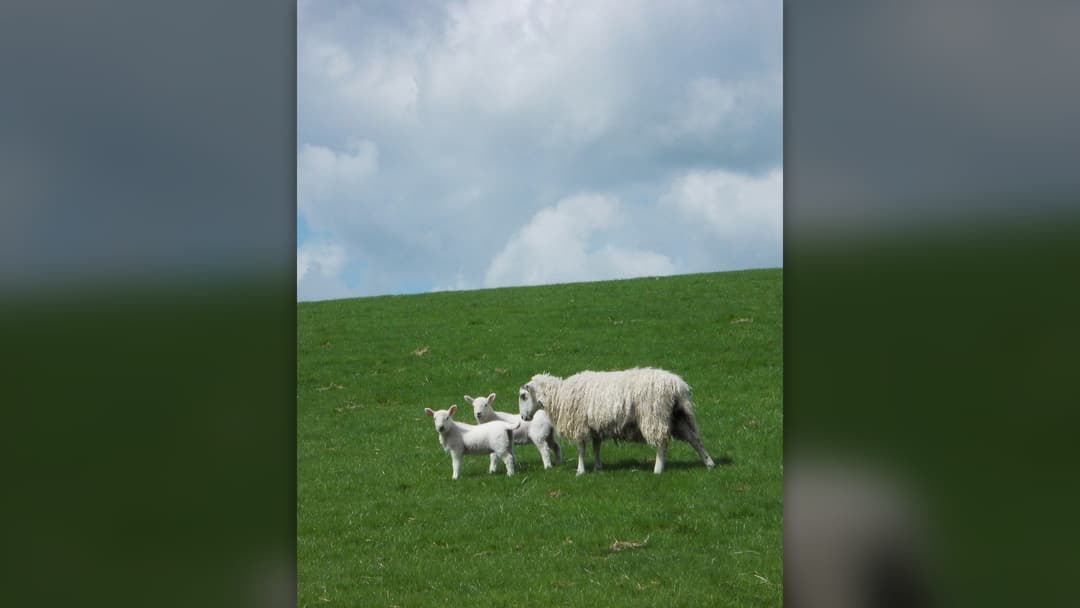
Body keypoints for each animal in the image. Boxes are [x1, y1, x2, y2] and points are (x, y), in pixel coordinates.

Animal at [518, 367, 717, 475]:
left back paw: (658, 468)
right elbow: (596, 447)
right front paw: (598, 468)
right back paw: (709, 463)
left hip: (654, 414)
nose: (524, 418)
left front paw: (580, 471)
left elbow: (581, 449)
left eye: (523, 396)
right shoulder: (594, 426)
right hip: (678, 416)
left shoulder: (579, 424)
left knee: (662, 441)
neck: (559, 395)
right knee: (693, 439)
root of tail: (678, 385)